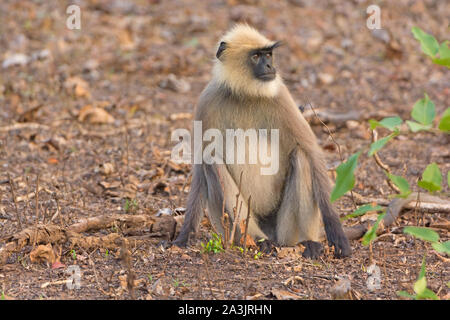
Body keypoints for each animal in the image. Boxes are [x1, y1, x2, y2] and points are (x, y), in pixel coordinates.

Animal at [173, 25, 352, 260]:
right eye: (256, 56)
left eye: (269, 54)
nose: (269, 66)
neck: (246, 94)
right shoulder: (206, 103)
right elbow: (201, 167)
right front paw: (183, 236)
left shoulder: (281, 96)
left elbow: (312, 153)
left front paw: (337, 234)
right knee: (212, 162)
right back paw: (259, 241)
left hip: (286, 231)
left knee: (301, 156)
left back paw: (309, 242)